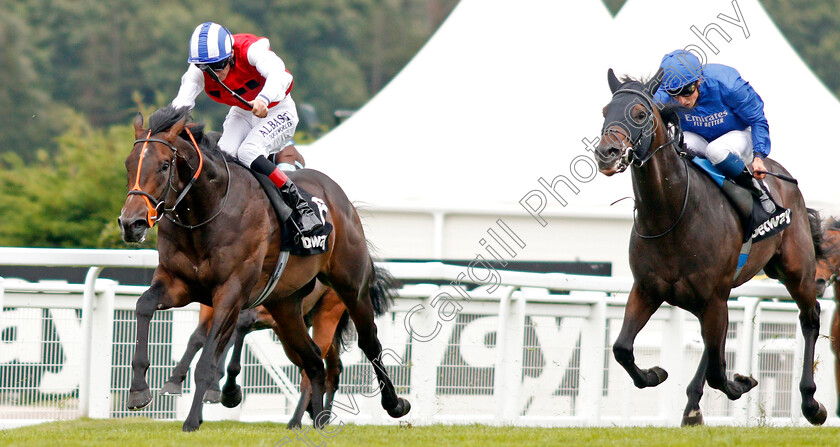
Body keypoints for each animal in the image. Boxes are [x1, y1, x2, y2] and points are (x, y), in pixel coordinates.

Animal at [116, 106, 408, 434]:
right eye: (129, 164)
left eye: (165, 165)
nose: (131, 223)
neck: (207, 211)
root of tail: (341, 198)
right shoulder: (178, 283)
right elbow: (144, 306)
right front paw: (139, 390)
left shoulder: (231, 294)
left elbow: (208, 360)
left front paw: (193, 419)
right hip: (286, 306)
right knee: (314, 361)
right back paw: (316, 420)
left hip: (348, 289)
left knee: (368, 342)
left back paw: (394, 404)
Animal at [592, 69, 824, 428]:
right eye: (605, 112)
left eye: (640, 114)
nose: (607, 153)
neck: (672, 215)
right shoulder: (647, 289)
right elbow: (622, 348)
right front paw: (655, 374)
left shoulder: (714, 297)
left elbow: (718, 371)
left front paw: (741, 382)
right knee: (709, 346)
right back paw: (692, 406)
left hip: (796, 269)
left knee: (810, 318)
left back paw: (811, 404)